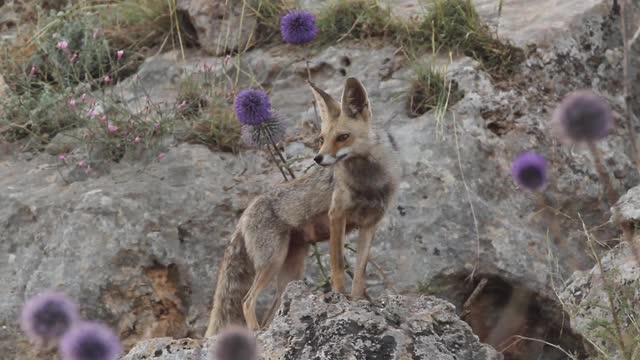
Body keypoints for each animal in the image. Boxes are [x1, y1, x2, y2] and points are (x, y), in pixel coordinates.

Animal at [205, 77, 398, 336]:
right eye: (322, 138)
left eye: (342, 137)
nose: (318, 158)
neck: (368, 183)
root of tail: (245, 213)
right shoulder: (337, 215)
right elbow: (338, 265)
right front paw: (340, 298)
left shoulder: (370, 224)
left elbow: (360, 272)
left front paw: (359, 302)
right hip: (273, 261)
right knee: (247, 301)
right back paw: (256, 332)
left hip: (290, 275)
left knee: (270, 312)